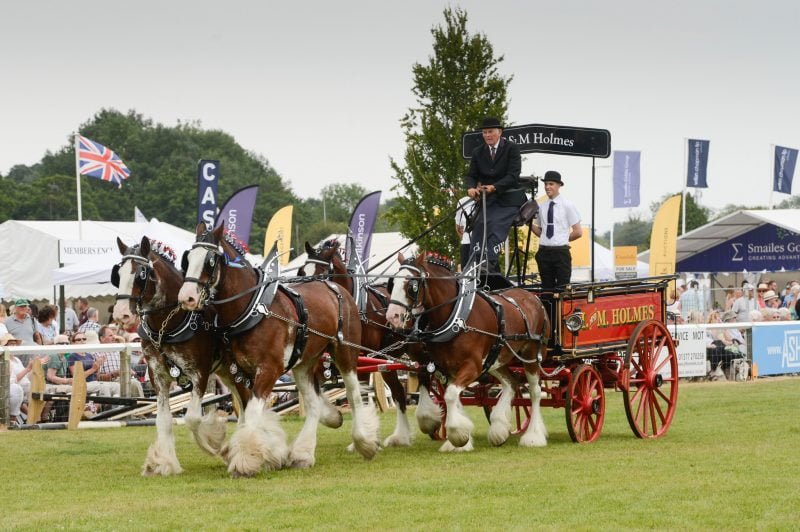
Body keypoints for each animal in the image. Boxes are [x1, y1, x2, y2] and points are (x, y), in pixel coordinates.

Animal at [109, 235, 247, 476]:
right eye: (118, 273)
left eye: (141, 274)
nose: (121, 314)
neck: (168, 323)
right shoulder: (158, 377)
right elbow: (163, 420)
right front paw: (164, 463)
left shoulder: (200, 373)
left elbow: (192, 418)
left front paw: (215, 443)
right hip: (226, 372)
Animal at [178, 222, 378, 476]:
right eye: (187, 258)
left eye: (210, 261)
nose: (187, 297)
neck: (253, 309)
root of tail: (335, 287)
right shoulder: (239, 372)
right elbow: (248, 413)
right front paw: (269, 452)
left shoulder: (269, 370)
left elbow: (253, 414)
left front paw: (246, 460)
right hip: (303, 364)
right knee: (313, 403)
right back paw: (304, 453)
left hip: (346, 353)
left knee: (354, 394)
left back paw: (364, 442)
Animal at [298, 239, 412, 446]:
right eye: (302, 272)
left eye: (322, 273)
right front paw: (333, 416)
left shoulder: (362, 358)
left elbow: (361, 395)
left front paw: (364, 436)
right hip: (388, 362)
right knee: (400, 392)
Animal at [382, 252, 548, 448]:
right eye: (392, 283)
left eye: (411, 285)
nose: (392, 316)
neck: (457, 317)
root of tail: (532, 297)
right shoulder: (445, 369)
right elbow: (452, 397)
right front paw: (460, 438)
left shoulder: (473, 366)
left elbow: (450, 396)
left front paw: (457, 436)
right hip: (497, 357)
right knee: (512, 383)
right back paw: (499, 428)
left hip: (531, 354)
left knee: (535, 391)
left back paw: (533, 436)